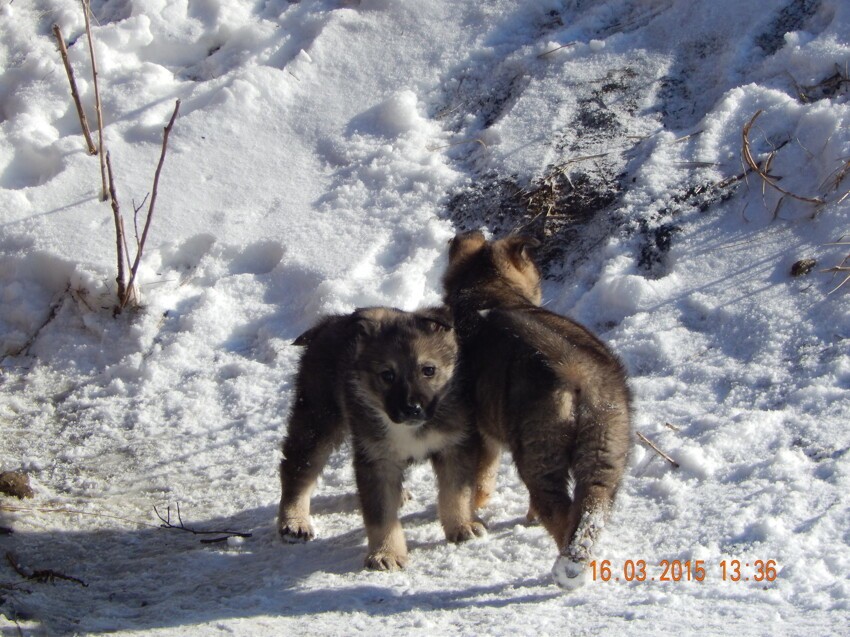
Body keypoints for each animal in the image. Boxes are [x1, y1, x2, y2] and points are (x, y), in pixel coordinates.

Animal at [278, 306, 484, 568]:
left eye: (428, 370)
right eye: (387, 375)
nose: (412, 408)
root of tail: (330, 322)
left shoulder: (454, 446)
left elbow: (456, 493)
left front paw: (461, 526)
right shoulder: (377, 460)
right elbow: (381, 514)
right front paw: (386, 553)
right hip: (318, 419)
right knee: (297, 470)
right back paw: (294, 522)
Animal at [444, 231, 628, 588]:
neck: (487, 292)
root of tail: (579, 374)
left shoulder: (480, 432)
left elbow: (480, 479)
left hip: (538, 453)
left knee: (558, 512)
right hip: (606, 450)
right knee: (589, 510)